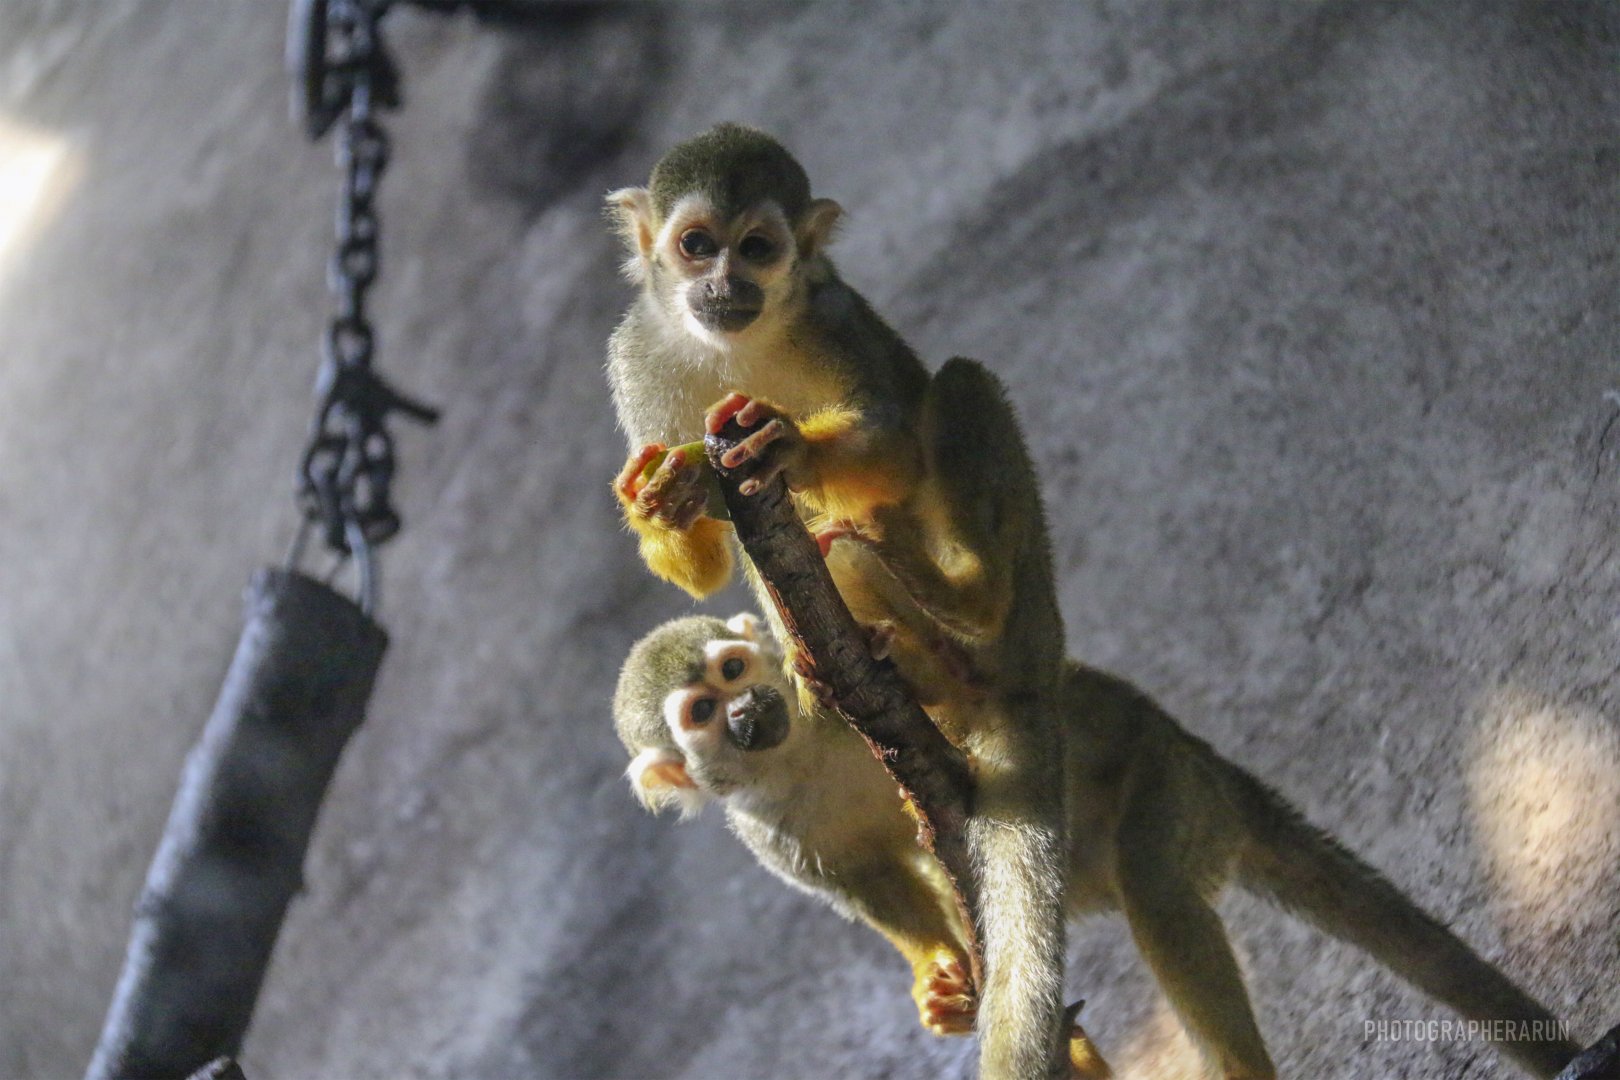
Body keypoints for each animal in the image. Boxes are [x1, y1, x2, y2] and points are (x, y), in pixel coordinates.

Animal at [605, 123, 1071, 1077]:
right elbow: (703, 561)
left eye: (757, 248)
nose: (725, 285)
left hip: (1025, 584)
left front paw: (786, 444)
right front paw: (658, 499)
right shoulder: (634, 355)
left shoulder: (830, 313)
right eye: (696, 245)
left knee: (951, 391)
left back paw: (961, 607)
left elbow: (889, 437)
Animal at [613, 613, 1584, 1080]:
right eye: (701, 715)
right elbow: (861, 885)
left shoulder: (819, 683)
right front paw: (939, 976)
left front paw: (901, 650)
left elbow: (957, 685)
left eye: (735, 668)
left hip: (1169, 785)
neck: (799, 751)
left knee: (1154, 884)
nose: (748, 710)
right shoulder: (762, 824)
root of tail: (1202, 757)